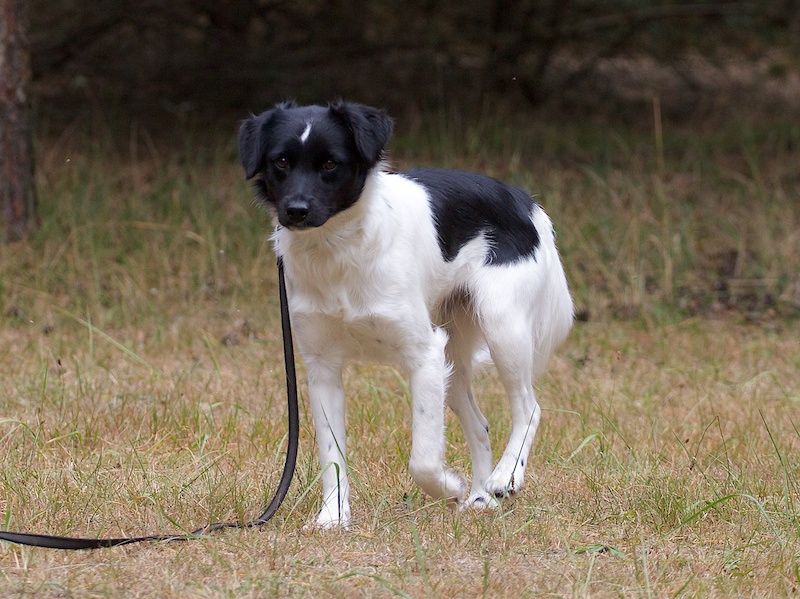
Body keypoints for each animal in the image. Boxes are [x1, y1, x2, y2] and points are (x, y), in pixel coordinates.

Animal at [238, 100, 573, 528]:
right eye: (281, 161)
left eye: (330, 164)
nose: (295, 210)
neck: (339, 249)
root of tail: (526, 203)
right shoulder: (322, 368)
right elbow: (332, 455)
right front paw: (334, 515)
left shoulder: (424, 356)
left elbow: (424, 460)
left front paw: (449, 485)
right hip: (454, 361)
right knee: (480, 426)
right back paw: (481, 496)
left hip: (502, 327)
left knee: (529, 408)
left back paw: (505, 476)